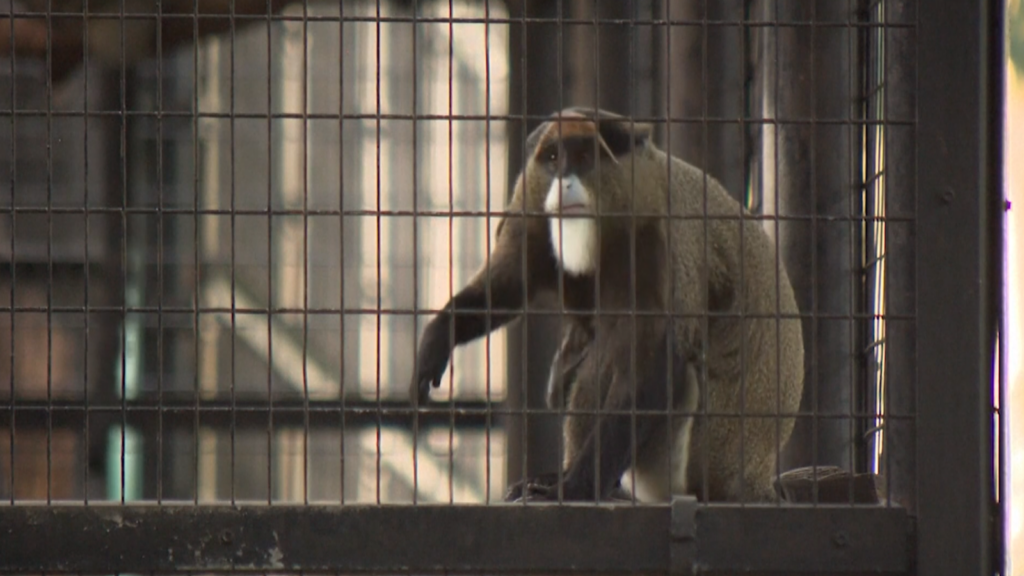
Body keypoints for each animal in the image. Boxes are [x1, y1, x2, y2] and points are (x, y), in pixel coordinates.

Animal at [411, 107, 802, 502]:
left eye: (585, 157)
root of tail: (750, 479)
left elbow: (656, 364)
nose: (563, 181)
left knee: (617, 349)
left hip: (677, 460)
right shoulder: (531, 202)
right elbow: (507, 287)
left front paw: (575, 487)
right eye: (553, 158)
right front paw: (438, 338)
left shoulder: (661, 238)